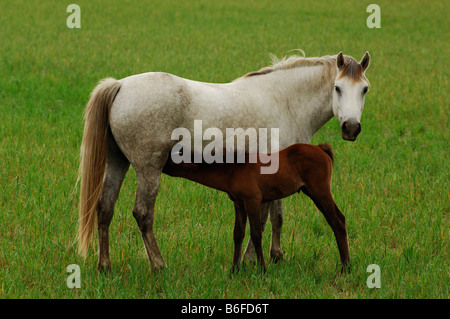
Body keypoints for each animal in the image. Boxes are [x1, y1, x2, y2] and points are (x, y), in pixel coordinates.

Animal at [162, 144, 348, 274]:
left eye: (175, 155)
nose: (161, 165)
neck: (234, 169)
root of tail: (321, 148)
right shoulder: (239, 204)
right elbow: (238, 234)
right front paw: (234, 270)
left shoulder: (253, 201)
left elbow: (256, 234)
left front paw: (262, 270)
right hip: (313, 193)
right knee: (335, 221)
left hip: (320, 192)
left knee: (338, 221)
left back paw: (345, 268)